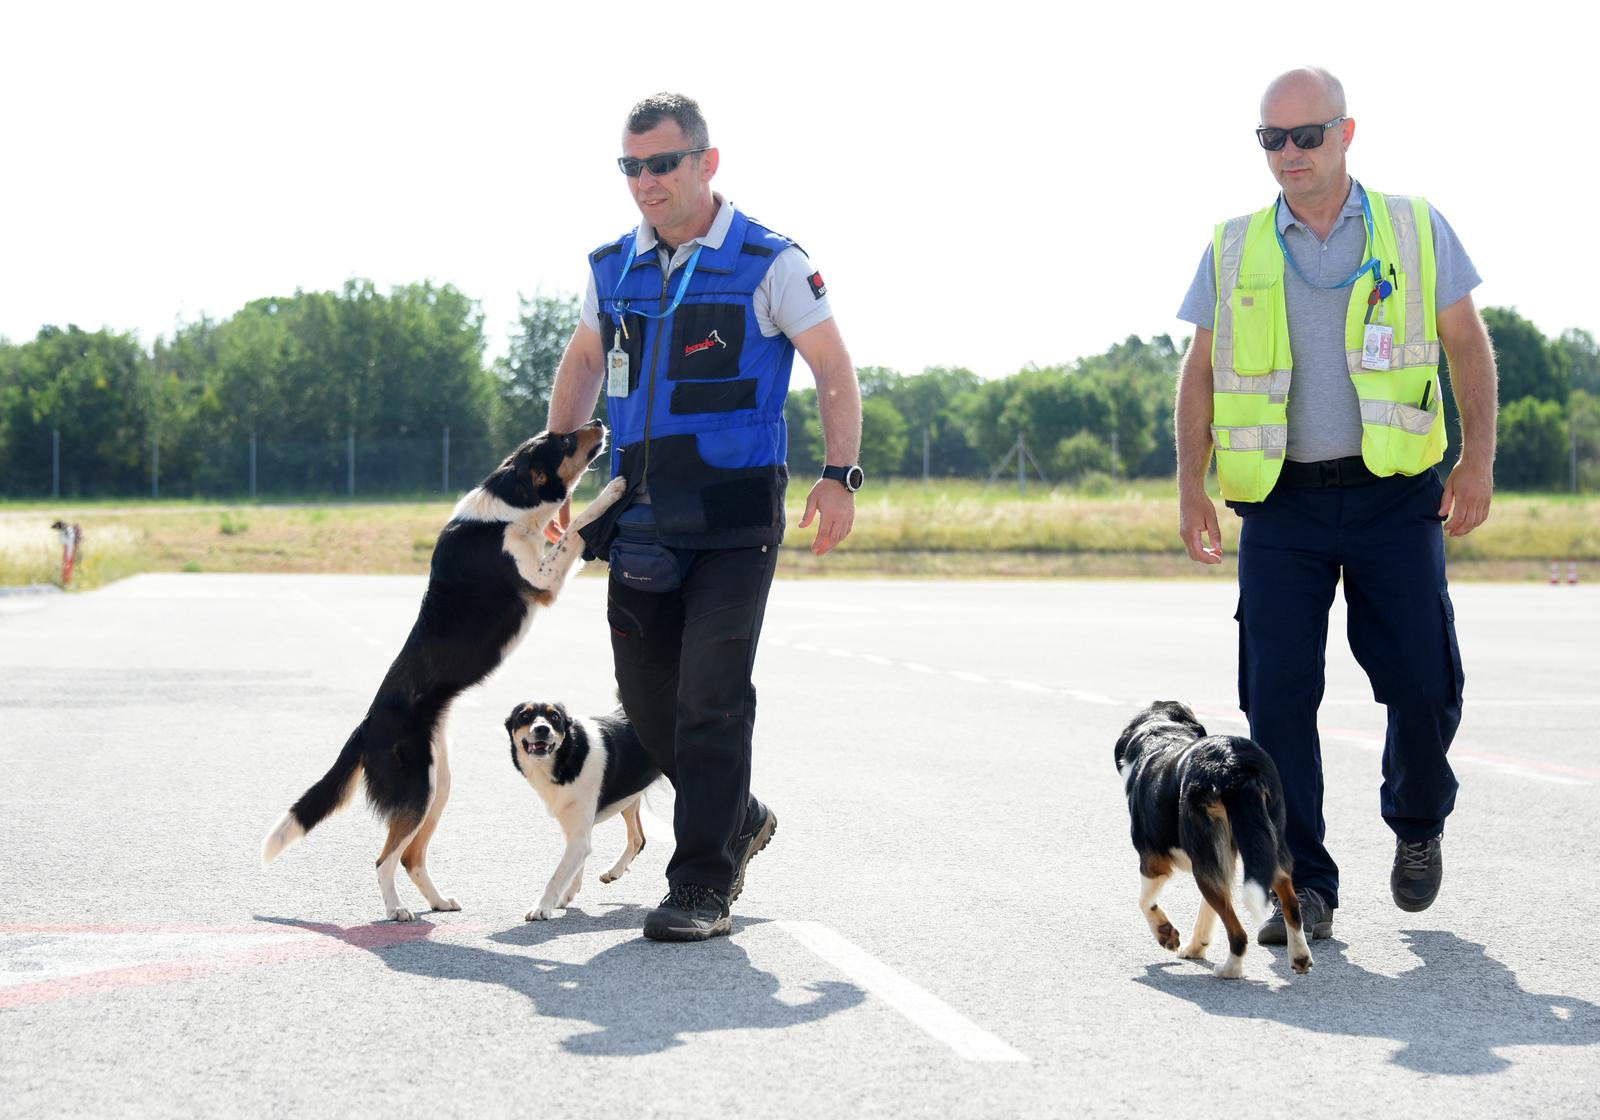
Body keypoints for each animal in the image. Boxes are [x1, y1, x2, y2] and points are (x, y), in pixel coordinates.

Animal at [257, 425, 624, 921]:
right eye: (565, 442)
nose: (600, 423)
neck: (508, 507)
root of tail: (366, 726)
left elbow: (570, 531)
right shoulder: (543, 579)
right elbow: (576, 528)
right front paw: (614, 490)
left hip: (438, 788)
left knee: (410, 857)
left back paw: (438, 901)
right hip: (417, 791)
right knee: (384, 859)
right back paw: (397, 911)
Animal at [508, 700, 665, 921]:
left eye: (555, 716)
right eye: (524, 716)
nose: (542, 729)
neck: (566, 756)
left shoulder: (579, 836)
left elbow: (558, 874)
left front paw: (541, 907)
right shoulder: (579, 832)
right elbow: (575, 865)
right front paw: (569, 892)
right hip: (629, 794)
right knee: (638, 838)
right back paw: (614, 870)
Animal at [1113, 700, 1312, 979]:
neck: (1161, 733)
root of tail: (1234, 766)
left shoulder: (1153, 861)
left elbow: (1144, 901)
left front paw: (1166, 934)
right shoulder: (1218, 863)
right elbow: (1205, 914)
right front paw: (1195, 948)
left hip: (1204, 861)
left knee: (1238, 932)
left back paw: (1230, 969)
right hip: (1267, 843)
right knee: (1291, 904)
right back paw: (1300, 956)